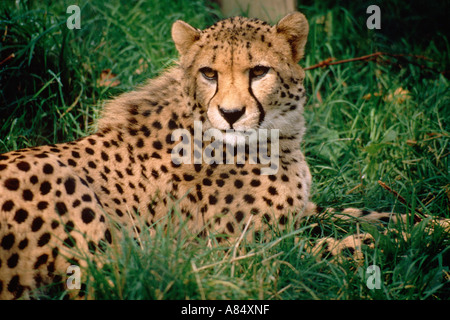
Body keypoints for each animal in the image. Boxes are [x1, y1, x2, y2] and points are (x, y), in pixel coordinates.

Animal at [0, 11, 446, 298]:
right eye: (209, 73)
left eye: (259, 71)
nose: (231, 114)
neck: (277, 139)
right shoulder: (237, 253)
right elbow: (331, 248)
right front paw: (402, 243)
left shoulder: (300, 211)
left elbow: (365, 213)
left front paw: (430, 225)